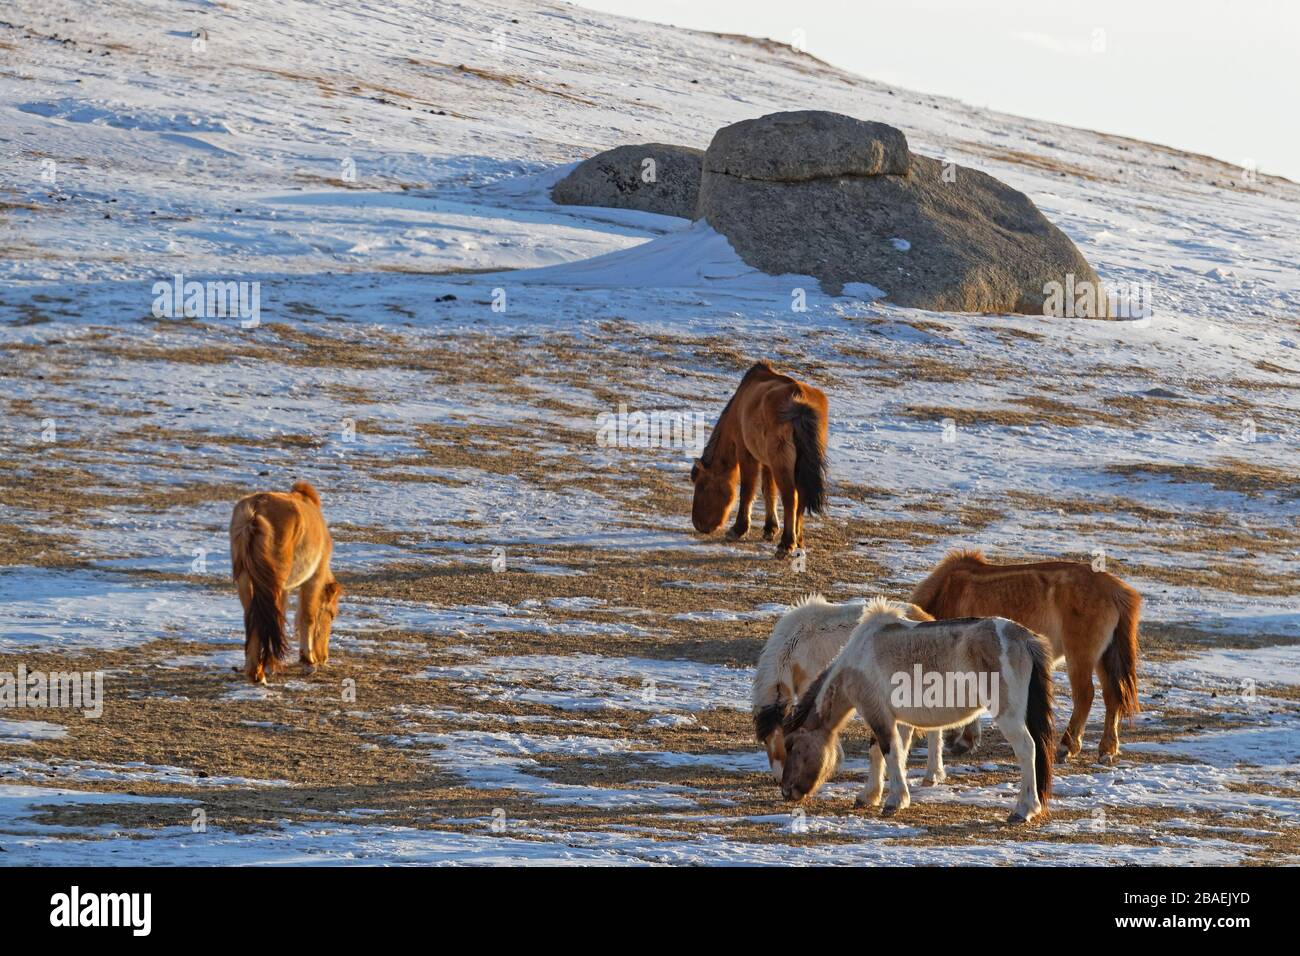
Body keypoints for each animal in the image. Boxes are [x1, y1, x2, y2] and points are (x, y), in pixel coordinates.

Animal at [229, 480, 341, 684]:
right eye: (332, 615)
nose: (324, 657)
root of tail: (255, 511)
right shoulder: (314, 579)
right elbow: (307, 616)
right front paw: (308, 660)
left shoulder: (284, 589)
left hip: (246, 581)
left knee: (255, 619)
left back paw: (256, 671)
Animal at [690, 361, 828, 557]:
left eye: (702, 485)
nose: (699, 525)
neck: (738, 406)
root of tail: (798, 403)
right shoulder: (767, 462)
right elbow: (768, 490)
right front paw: (770, 528)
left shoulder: (746, 453)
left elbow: (747, 490)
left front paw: (738, 529)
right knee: (801, 496)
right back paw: (798, 538)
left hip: (781, 464)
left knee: (790, 498)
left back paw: (786, 544)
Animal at [752, 594, 947, 786]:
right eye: (765, 740)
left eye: (785, 741)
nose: (779, 777)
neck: (796, 643)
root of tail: (926, 618)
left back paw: (931, 775)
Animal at [780, 598, 1055, 824]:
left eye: (792, 746)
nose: (785, 791)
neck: (858, 659)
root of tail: (1023, 636)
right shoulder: (893, 718)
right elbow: (886, 754)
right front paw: (870, 795)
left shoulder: (877, 714)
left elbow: (889, 752)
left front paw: (894, 801)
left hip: (1008, 716)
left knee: (1027, 749)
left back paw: (1023, 809)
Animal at [909, 549, 1140, 763]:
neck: (949, 593)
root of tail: (1113, 588)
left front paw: (964, 740)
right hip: (1103, 657)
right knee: (1112, 696)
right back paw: (1107, 750)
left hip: (1080, 655)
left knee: (1085, 695)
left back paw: (1066, 747)